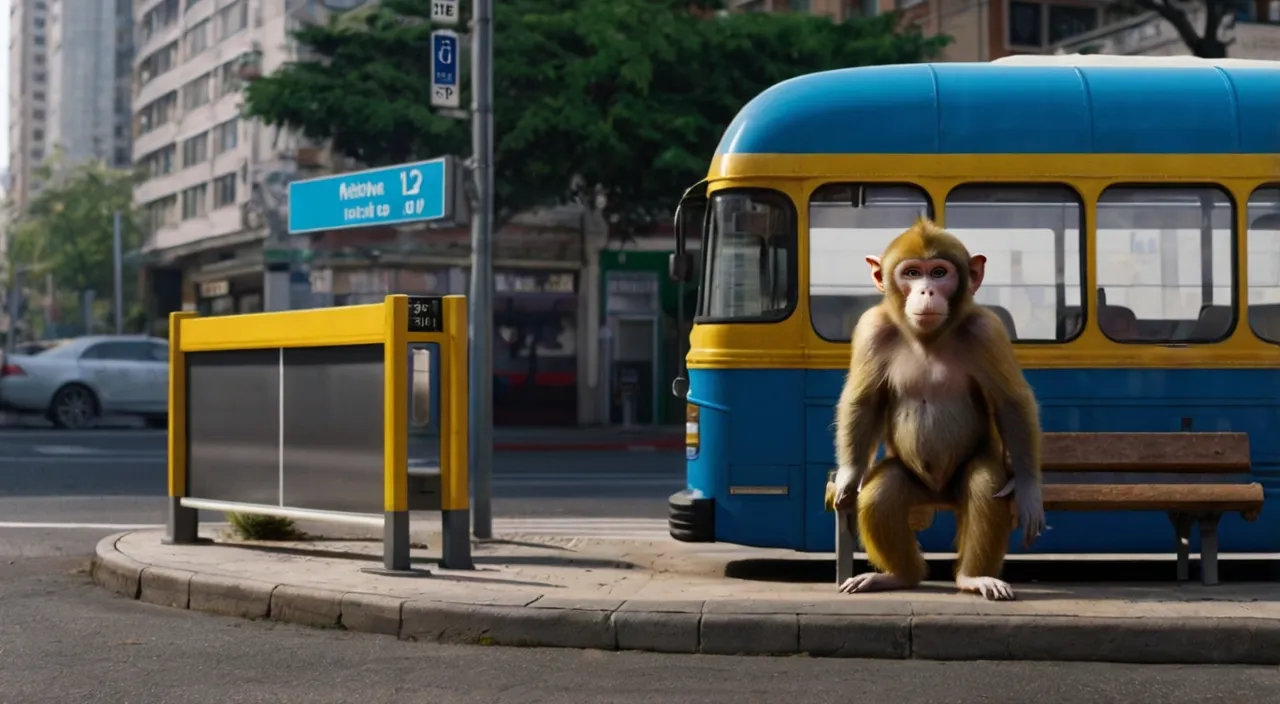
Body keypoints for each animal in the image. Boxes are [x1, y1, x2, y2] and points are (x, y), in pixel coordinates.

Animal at [824, 216, 1044, 601]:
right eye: (912, 273)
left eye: (939, 272)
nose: (926, 291)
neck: (927, 336)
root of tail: (937, 496)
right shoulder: (872, 328)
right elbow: (864, 400)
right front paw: (849, 478)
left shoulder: (986, 330)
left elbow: (1011, 403)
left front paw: (1030, 491)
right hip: (915, 483)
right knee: (883, 493)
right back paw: (899, 575)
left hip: (959, 477)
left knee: (983, 484)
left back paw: (973, 576)